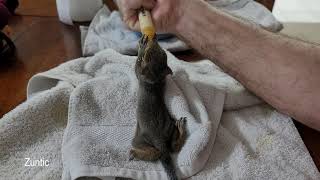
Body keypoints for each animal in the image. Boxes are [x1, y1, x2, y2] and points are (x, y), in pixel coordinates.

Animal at [129, 35, 186, 180]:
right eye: (163, 53)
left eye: (148, 54)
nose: (154, 36)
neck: (154, 81)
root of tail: (159, 140)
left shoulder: (140, 75)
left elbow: (136, 68)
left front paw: (141, 44)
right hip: (170, 129)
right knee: (174, 147)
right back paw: (181, 128)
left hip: (139, 140)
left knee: (155, 153)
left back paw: (135, 154)